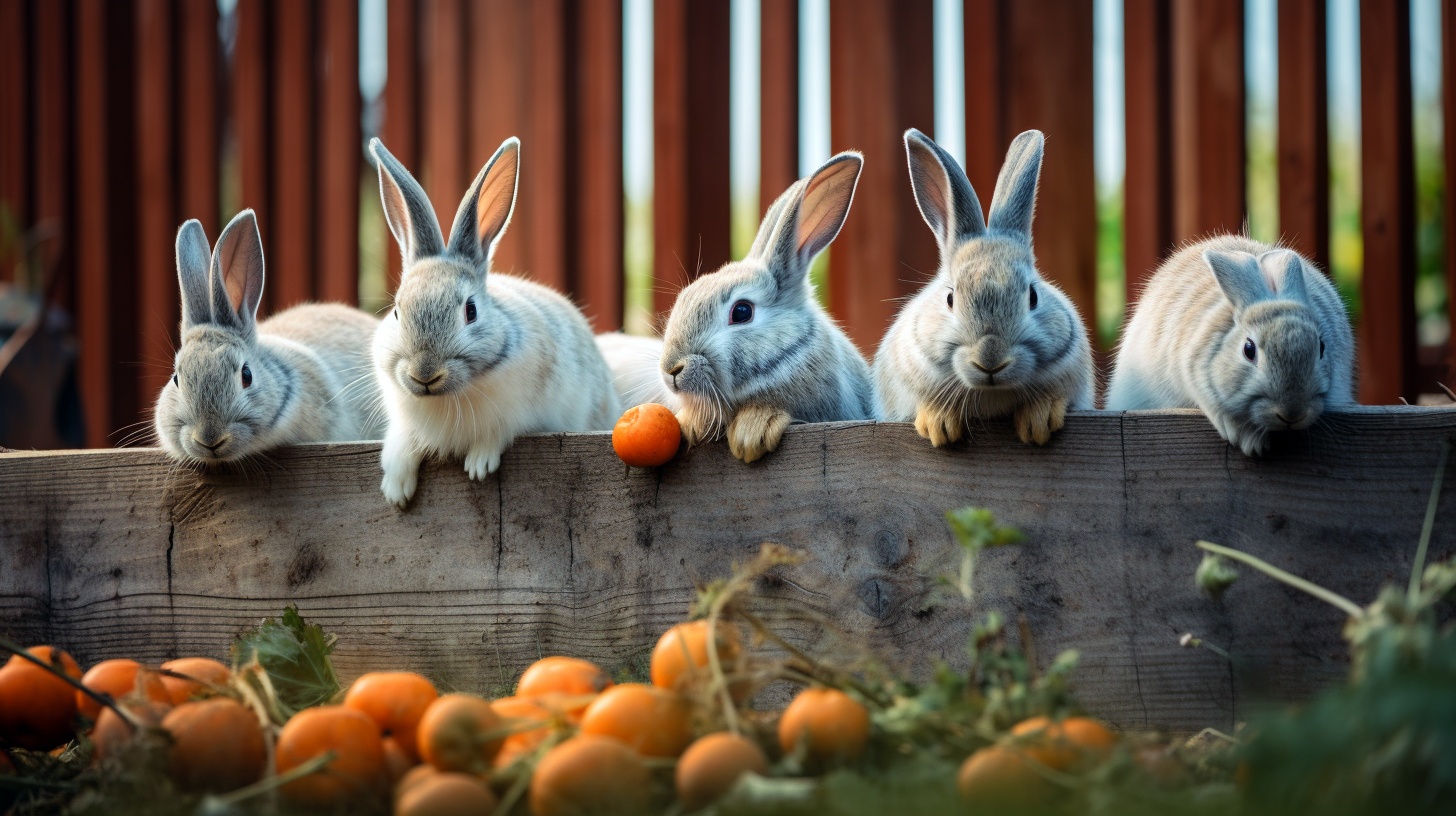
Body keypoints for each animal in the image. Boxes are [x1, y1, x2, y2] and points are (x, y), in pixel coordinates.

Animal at [369, 136, 620, 507]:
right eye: (397, 311)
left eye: (471, 311)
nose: (424, 374)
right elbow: (402, 446)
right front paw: (396, 491)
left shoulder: (519, 416)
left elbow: (497, 434)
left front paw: (478, 466)